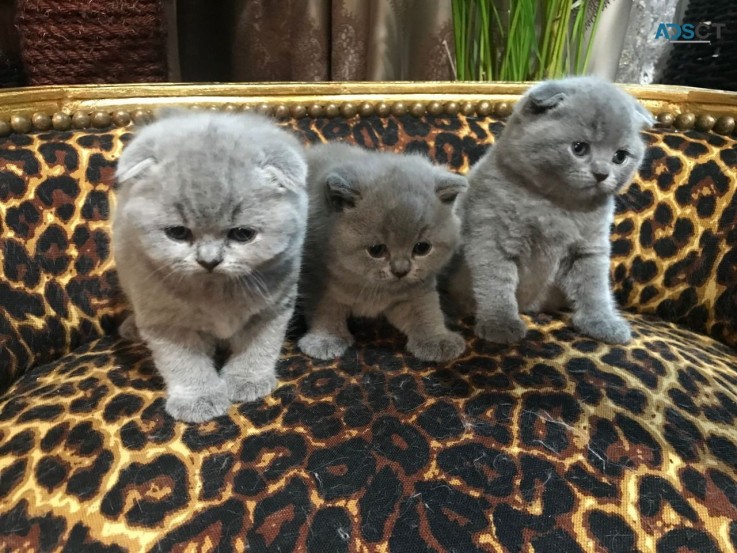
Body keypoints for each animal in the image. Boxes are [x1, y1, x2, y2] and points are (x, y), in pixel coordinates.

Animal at [110, 111, 306, 422]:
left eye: (242, 234)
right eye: (178, 233)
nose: (209, 260)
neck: (216, 293)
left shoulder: (272, 308)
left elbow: (259, 347)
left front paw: (247, 380)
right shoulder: (165, 321)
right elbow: (184, 364)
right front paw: (198, 399)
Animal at [298, 141, 466, 362]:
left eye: (422, 248)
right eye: (376, 250)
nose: (401, 270)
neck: (373, 288)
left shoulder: (417, 288)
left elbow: (427, 310)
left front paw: (437, 339)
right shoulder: (318, 280)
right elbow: (325, 311)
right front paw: (324, 340)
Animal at [446, 76, 652, 344]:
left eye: (620, 156)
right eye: (579, 148)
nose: (602, 173)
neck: (559, 206)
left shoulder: (590, 249)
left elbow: (594, 288)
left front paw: (602, 322)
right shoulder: (491, 237)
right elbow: (497, 283)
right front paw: (500, 323)